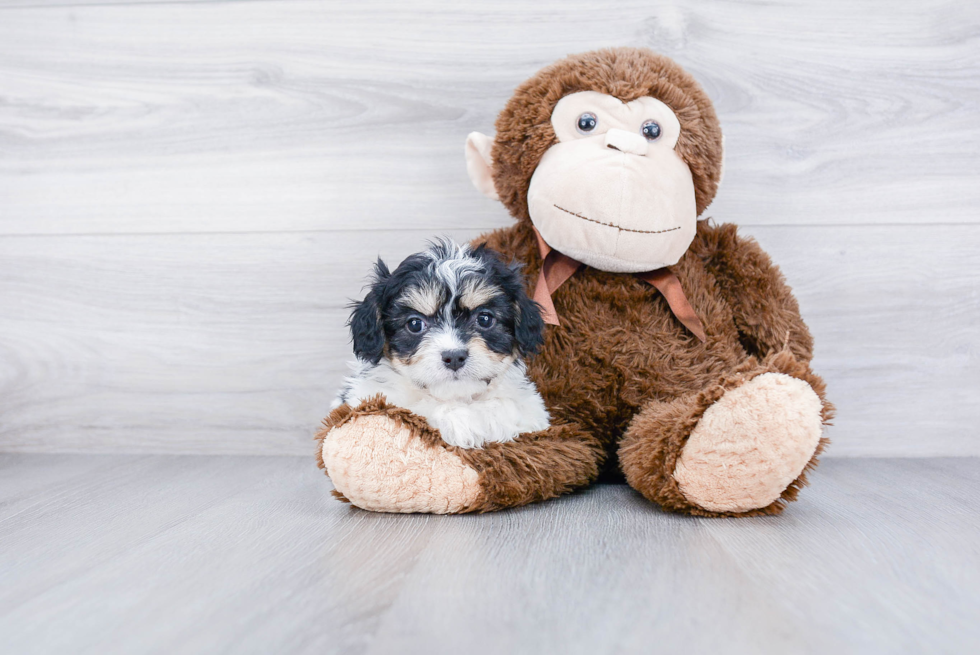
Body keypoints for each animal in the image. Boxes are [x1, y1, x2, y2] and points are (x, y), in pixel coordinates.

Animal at [334, 240, 552, 452]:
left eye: (485, 319)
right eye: (415, 324)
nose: (454, 357)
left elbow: (508, 406)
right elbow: (417, 408)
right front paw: (459, 422)